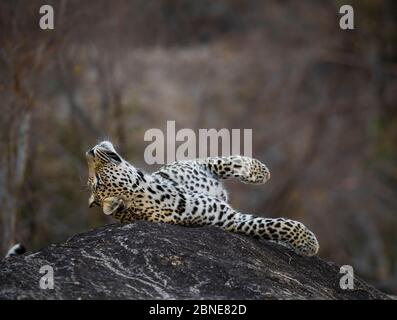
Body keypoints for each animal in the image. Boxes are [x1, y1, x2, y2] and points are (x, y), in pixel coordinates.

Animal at [86, 141, 318, 256]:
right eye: (98, 180)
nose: (89, 151)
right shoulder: (231, 220)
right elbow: (277, 225)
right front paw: (308, 243)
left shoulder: (199, 165)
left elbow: (229, 161)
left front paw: (260, 171)